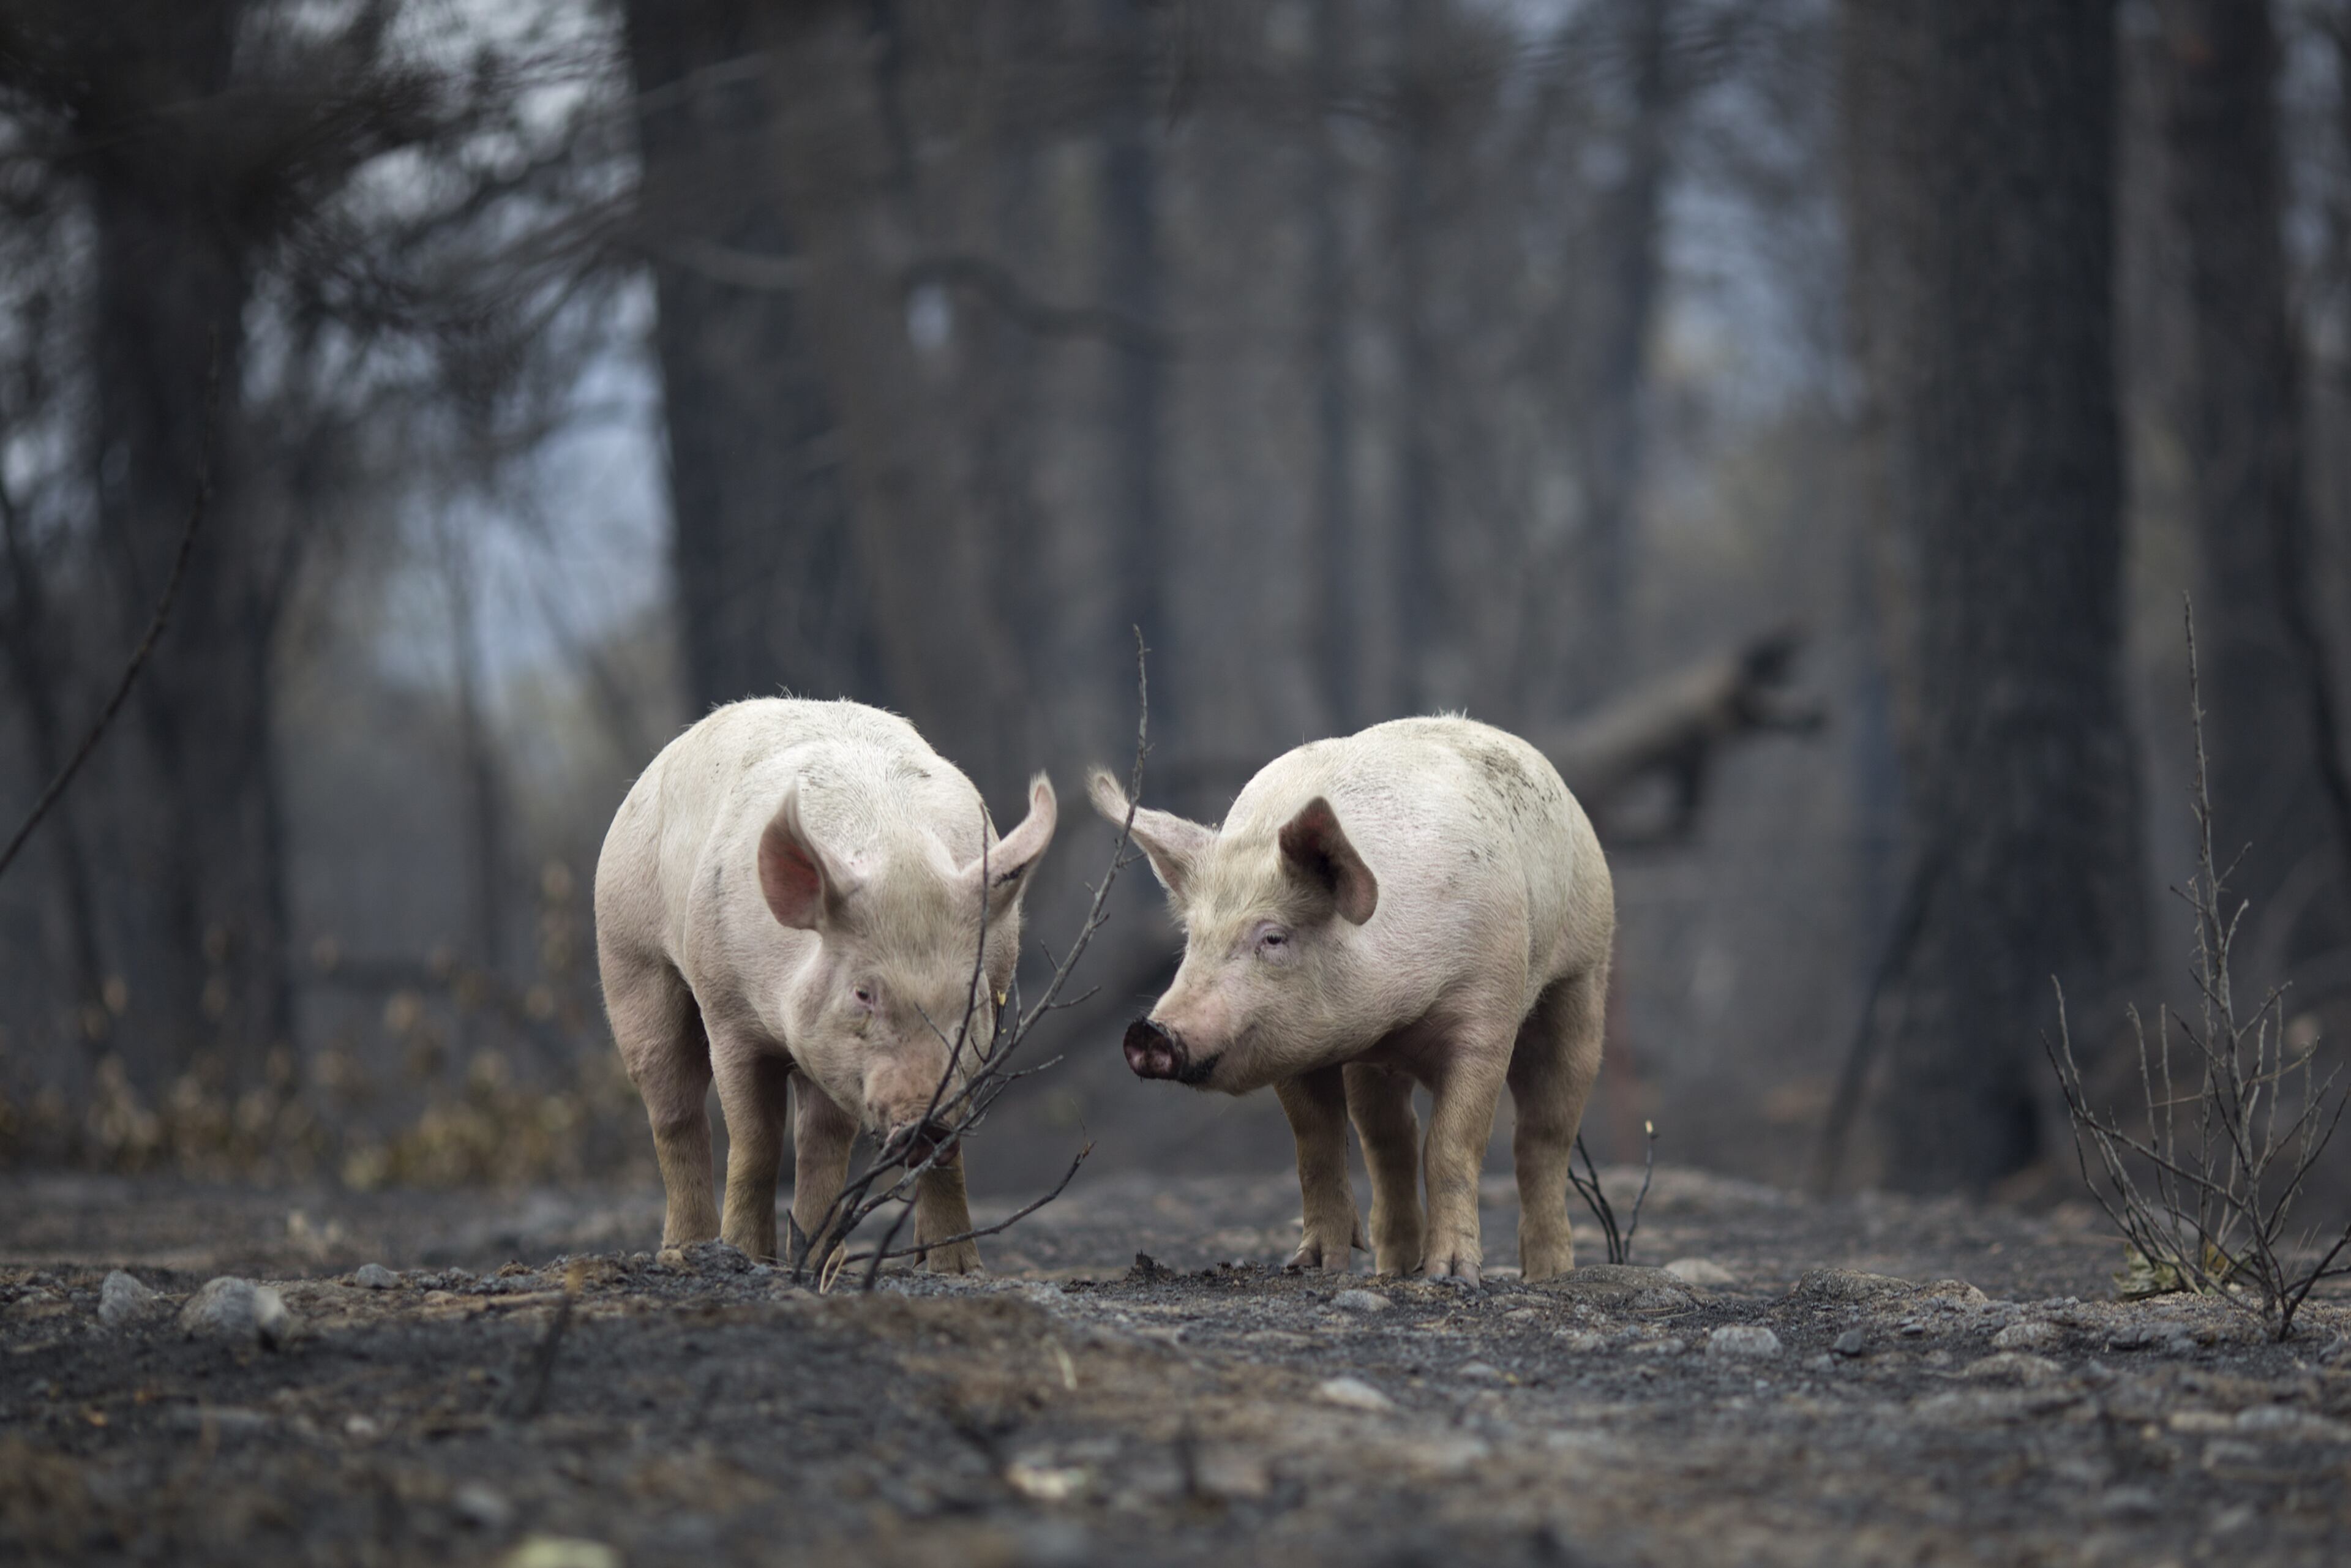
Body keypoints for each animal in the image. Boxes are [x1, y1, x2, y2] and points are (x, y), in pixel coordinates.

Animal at [595, 699, 1057, 1271]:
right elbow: (756, 1142)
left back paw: (824, 1264)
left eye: (971, 997)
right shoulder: (728, 1013)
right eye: (863, 993)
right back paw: (685, 1253)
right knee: (675, 1109)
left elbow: (925, 1156)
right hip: (629, 956)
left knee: (820, 1137)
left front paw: (961, 1271)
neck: (900, 860)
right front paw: (745, 1255)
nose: (923, 1121)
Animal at [1090, 717, 1613, 1283]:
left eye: (1273, 937)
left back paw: (1549, 1274)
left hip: (1585, 973)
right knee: (1390, 1140)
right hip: (1373, 1068)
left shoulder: (1487, 1011)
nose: (1150, 1031)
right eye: (1192, 938)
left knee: (1543, 1134)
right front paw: (1310, 1266)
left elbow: (1450, 1144)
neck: (1401, 1010)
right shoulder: (1292, 1045)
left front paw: (1452, 1274)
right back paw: (1394, 1270)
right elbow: (1316, 1146)